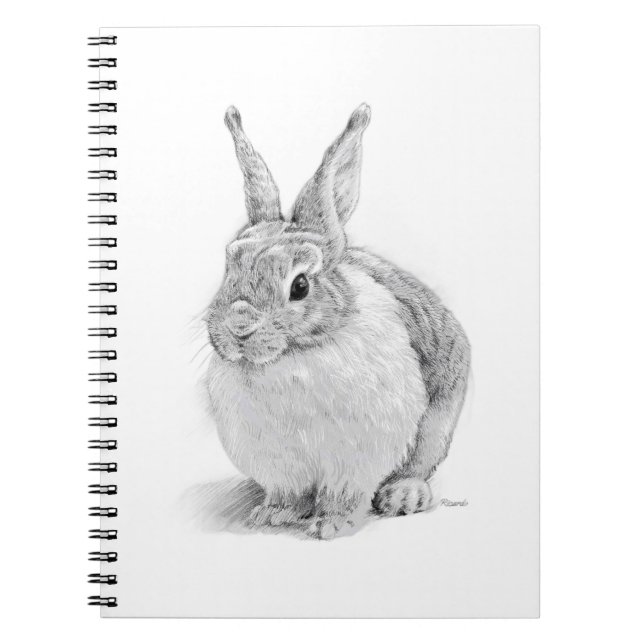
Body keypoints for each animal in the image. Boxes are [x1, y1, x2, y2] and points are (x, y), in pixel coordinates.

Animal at [206, 104, 470, 540]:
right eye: (228, 268)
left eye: (299, 286)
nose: (239, 328)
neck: (292, 357)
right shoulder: (280, 464)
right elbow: (289, 493)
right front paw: (274, 515)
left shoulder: (357, 457)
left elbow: (343, 493)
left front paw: (331, 524)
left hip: (437, 428)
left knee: (419, 466)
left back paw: (403, 496)